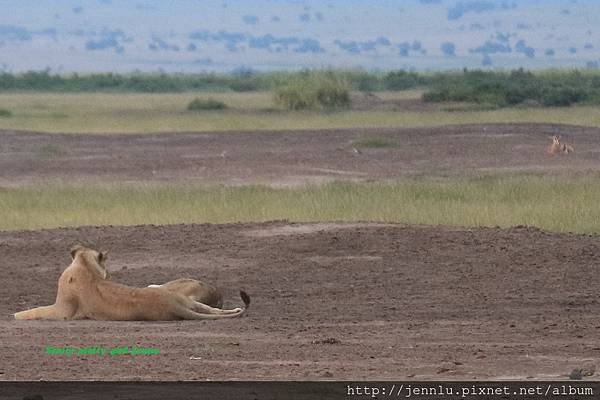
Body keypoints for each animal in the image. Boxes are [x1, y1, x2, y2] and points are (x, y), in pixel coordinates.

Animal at [14, 244, 250, 322]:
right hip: (191, 302)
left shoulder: (63, 310)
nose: (109, 275)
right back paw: (237, 309)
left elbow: (35, 311)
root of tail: (173, 304)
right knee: (215, 311)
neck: (85, 266)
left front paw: (16, 315)